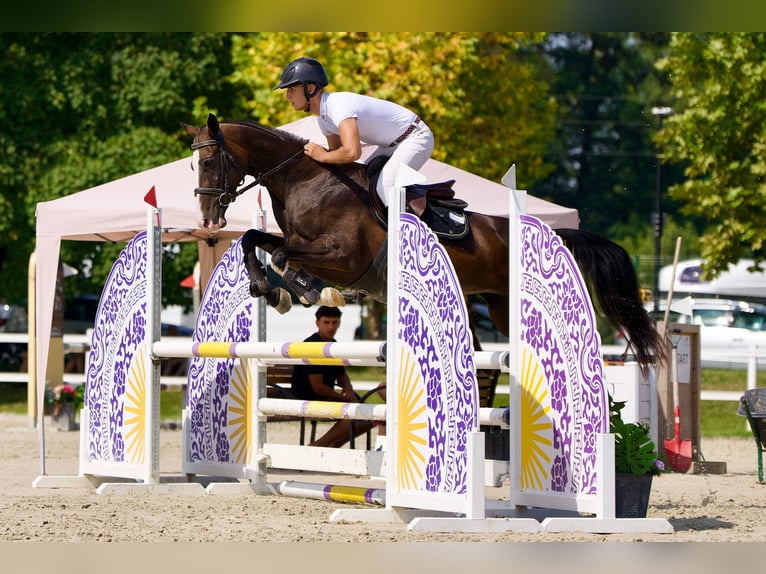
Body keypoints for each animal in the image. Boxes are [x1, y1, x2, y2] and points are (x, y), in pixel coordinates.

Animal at [184, 114, 664, 376]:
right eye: (192, 163)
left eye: (208, 160)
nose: (207, 220)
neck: (307, 180)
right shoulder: (298, 239)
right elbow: (254, 239)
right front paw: (267, 289)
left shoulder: (342, 257)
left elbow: (285, 256)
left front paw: (303, 291)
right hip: (500, 306)